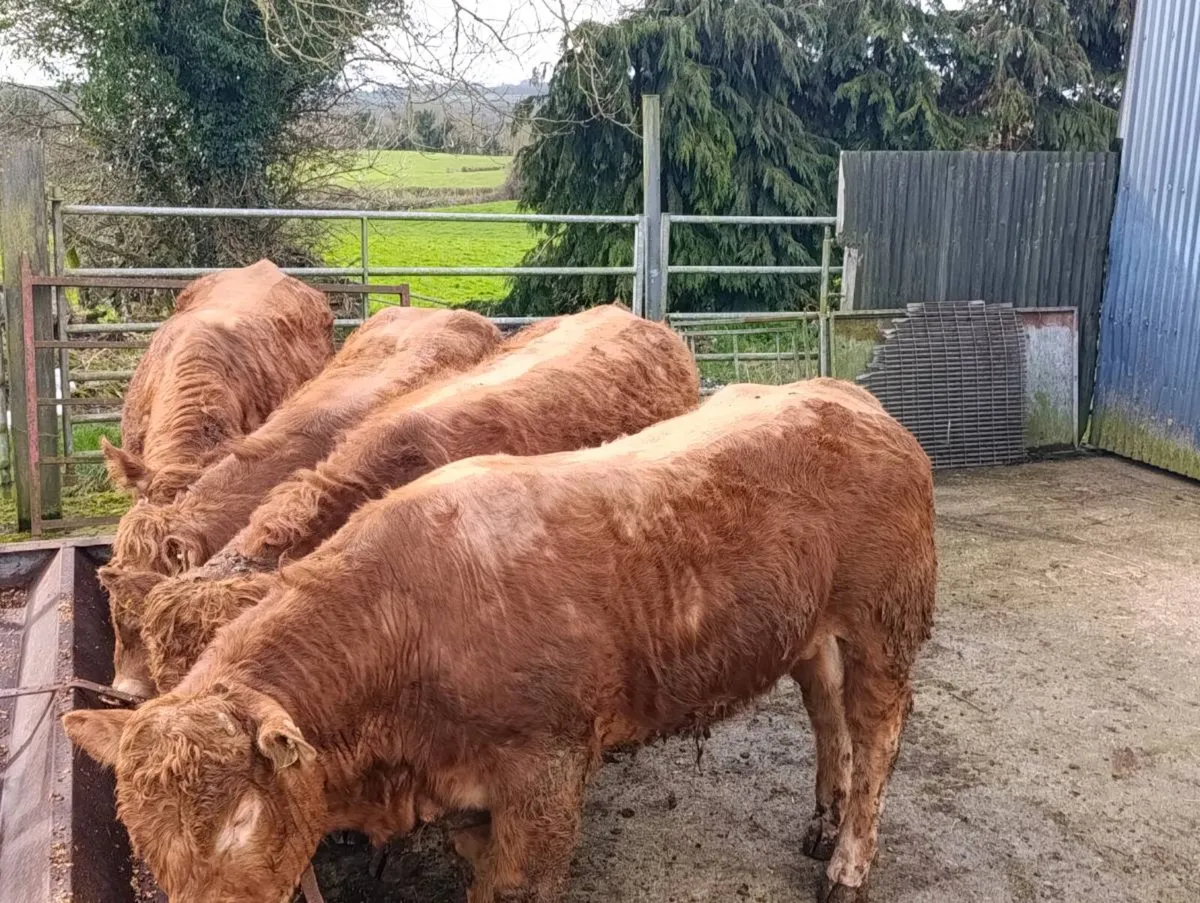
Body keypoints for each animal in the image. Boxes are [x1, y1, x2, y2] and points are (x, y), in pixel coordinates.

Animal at [64, 378, 936, 903]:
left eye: (241, 819)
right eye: (142, 832)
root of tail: (852, 397)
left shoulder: (545, 774)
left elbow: (520, 883)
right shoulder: (464, 796)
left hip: (884, 619)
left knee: (878, 731)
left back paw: (848, 859)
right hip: (809, 626)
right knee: (826, 708)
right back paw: (823, 815)